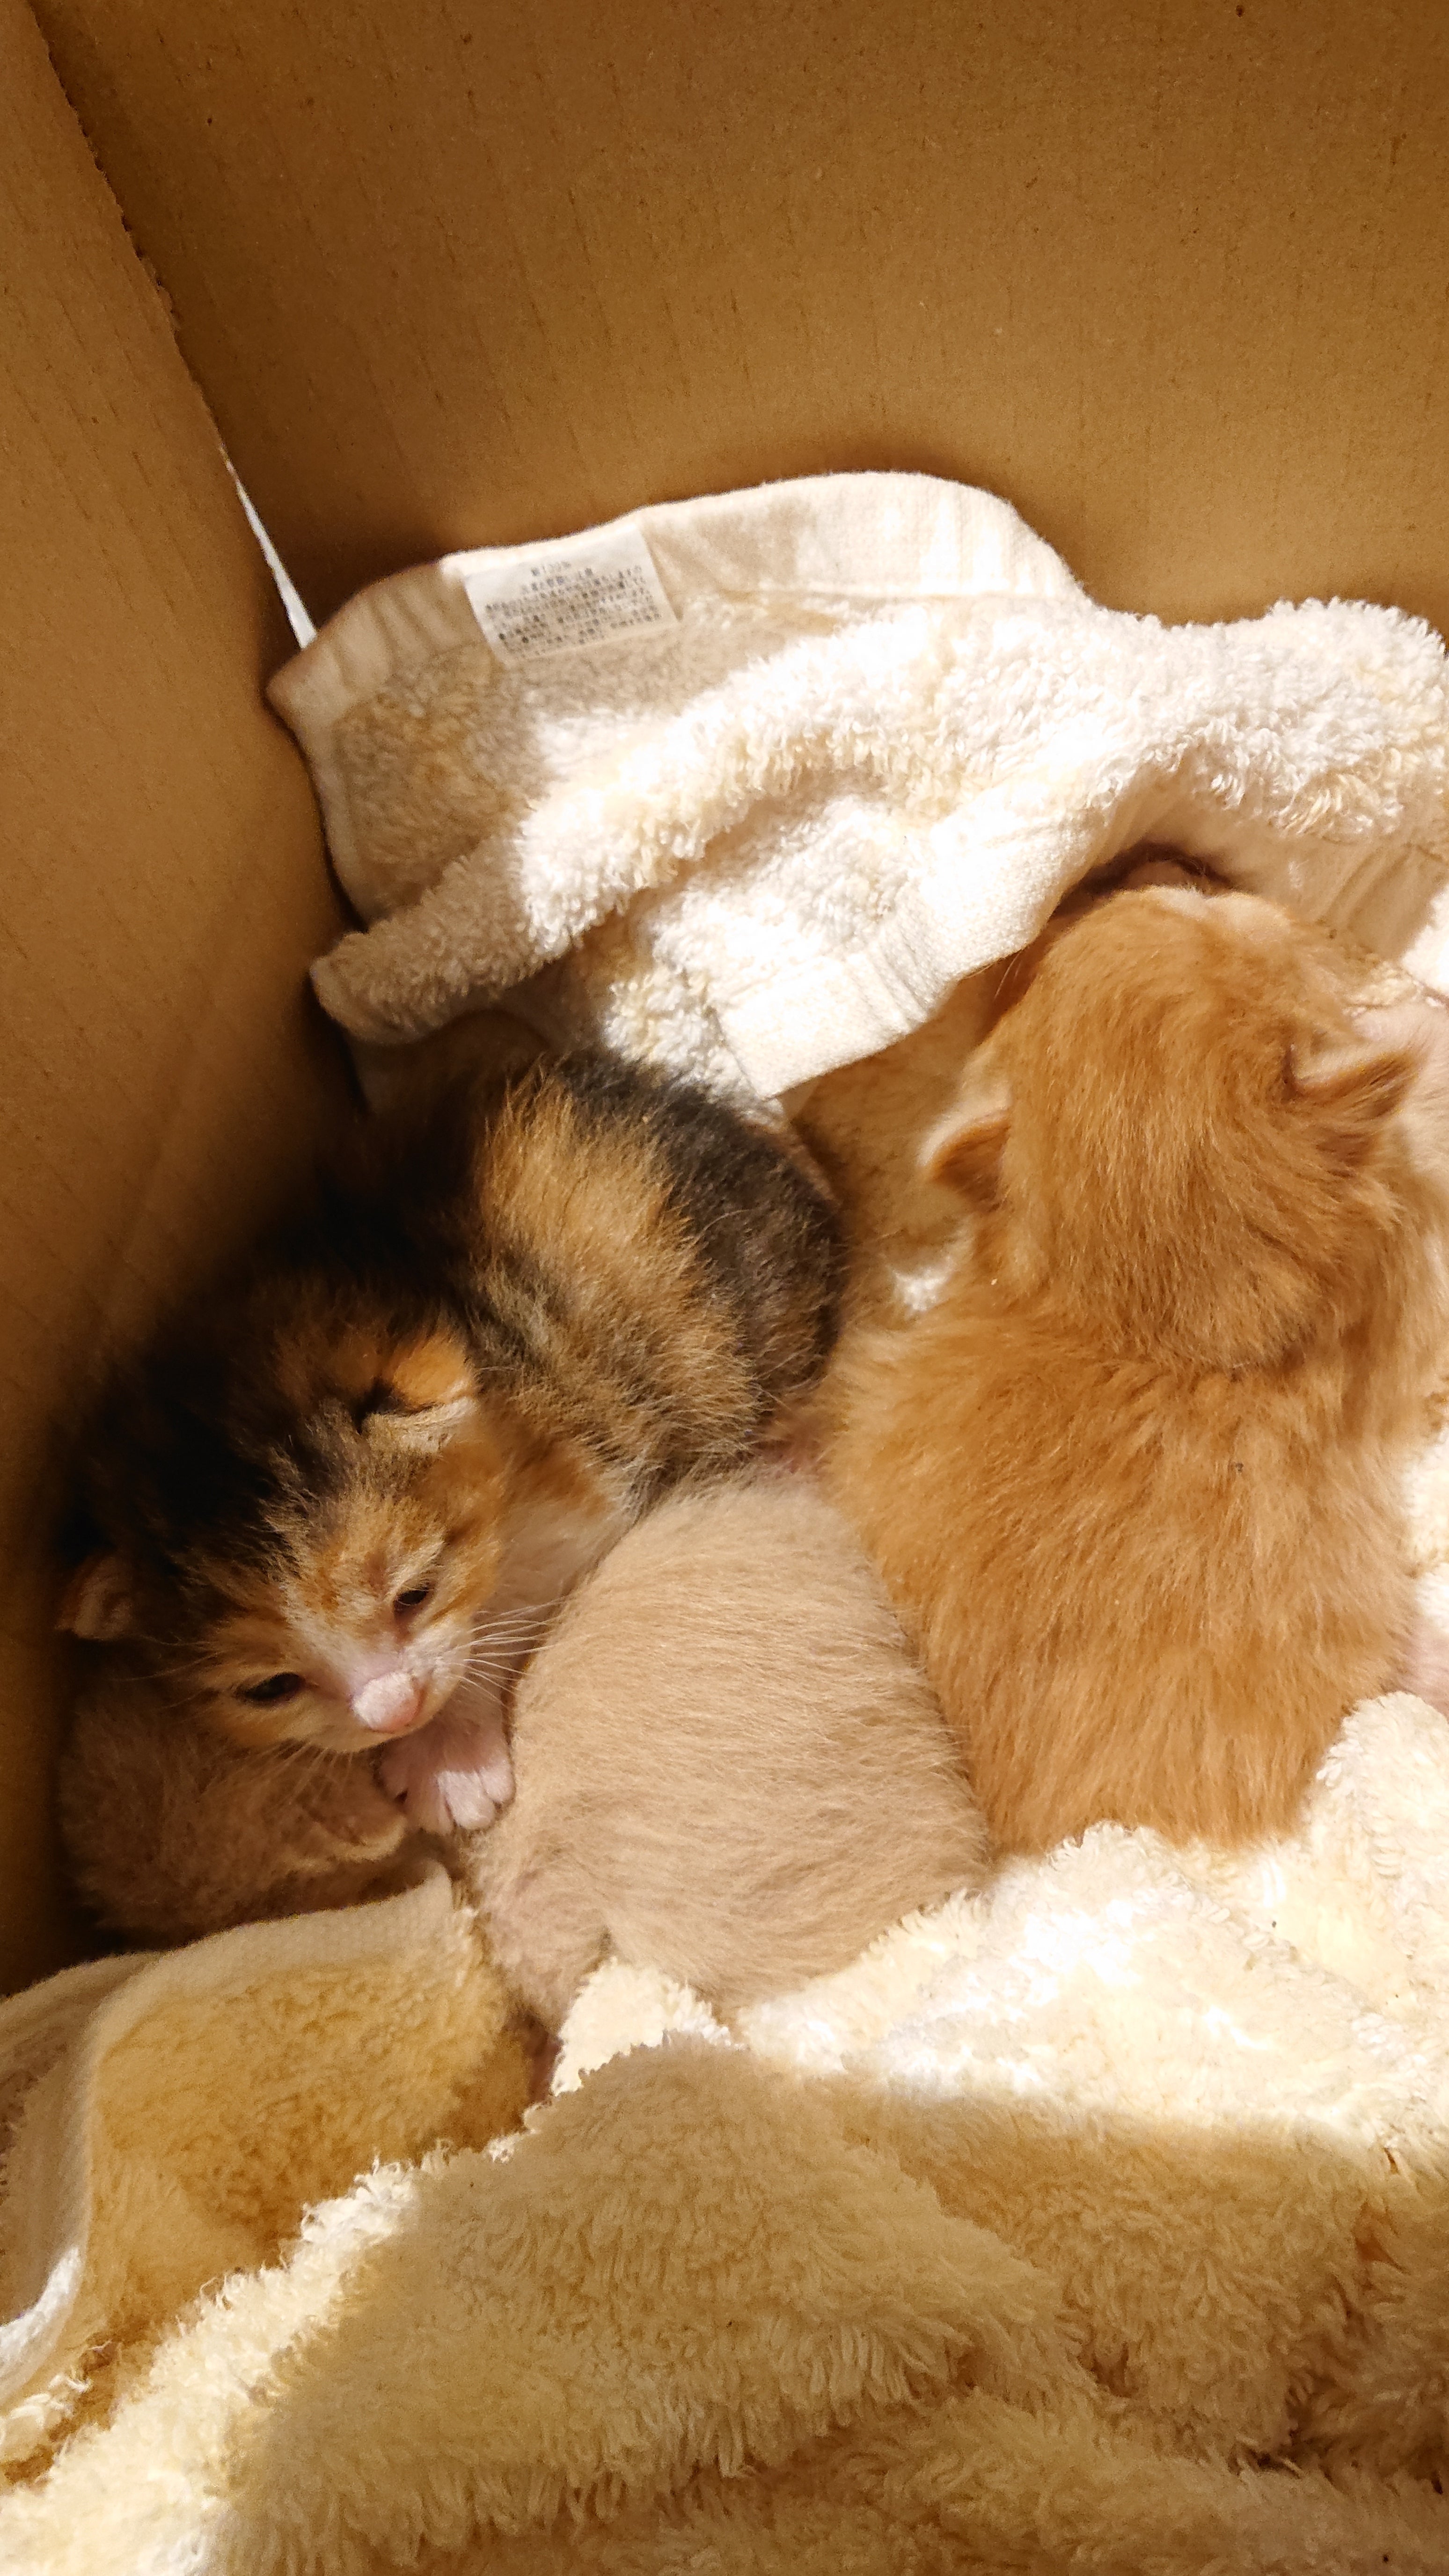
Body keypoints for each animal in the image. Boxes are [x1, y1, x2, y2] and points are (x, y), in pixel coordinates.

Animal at [59, 1050, 844, 1842]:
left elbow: (499, 1604)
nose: (396, 1711)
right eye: (270, 1687)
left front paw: (446, 1757)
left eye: (416, 1595)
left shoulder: (580, 1464)